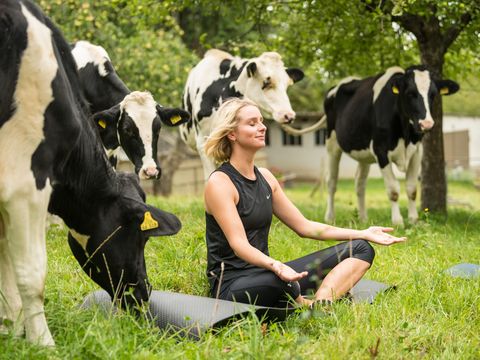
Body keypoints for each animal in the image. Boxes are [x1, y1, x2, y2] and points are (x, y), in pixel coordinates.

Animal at [324, 64, 460, 225]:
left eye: (433, 95)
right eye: (410, 93)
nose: (426, 124)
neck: (405, 133)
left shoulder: (417, 152)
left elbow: (412, 189)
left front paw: (413, 220)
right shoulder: (380, 151)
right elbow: (393, 190)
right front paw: (397, 221)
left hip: (364, 153)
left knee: (360, 183)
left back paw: (363, 218)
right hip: (332, 144)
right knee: (331, 182)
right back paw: (329, 217)